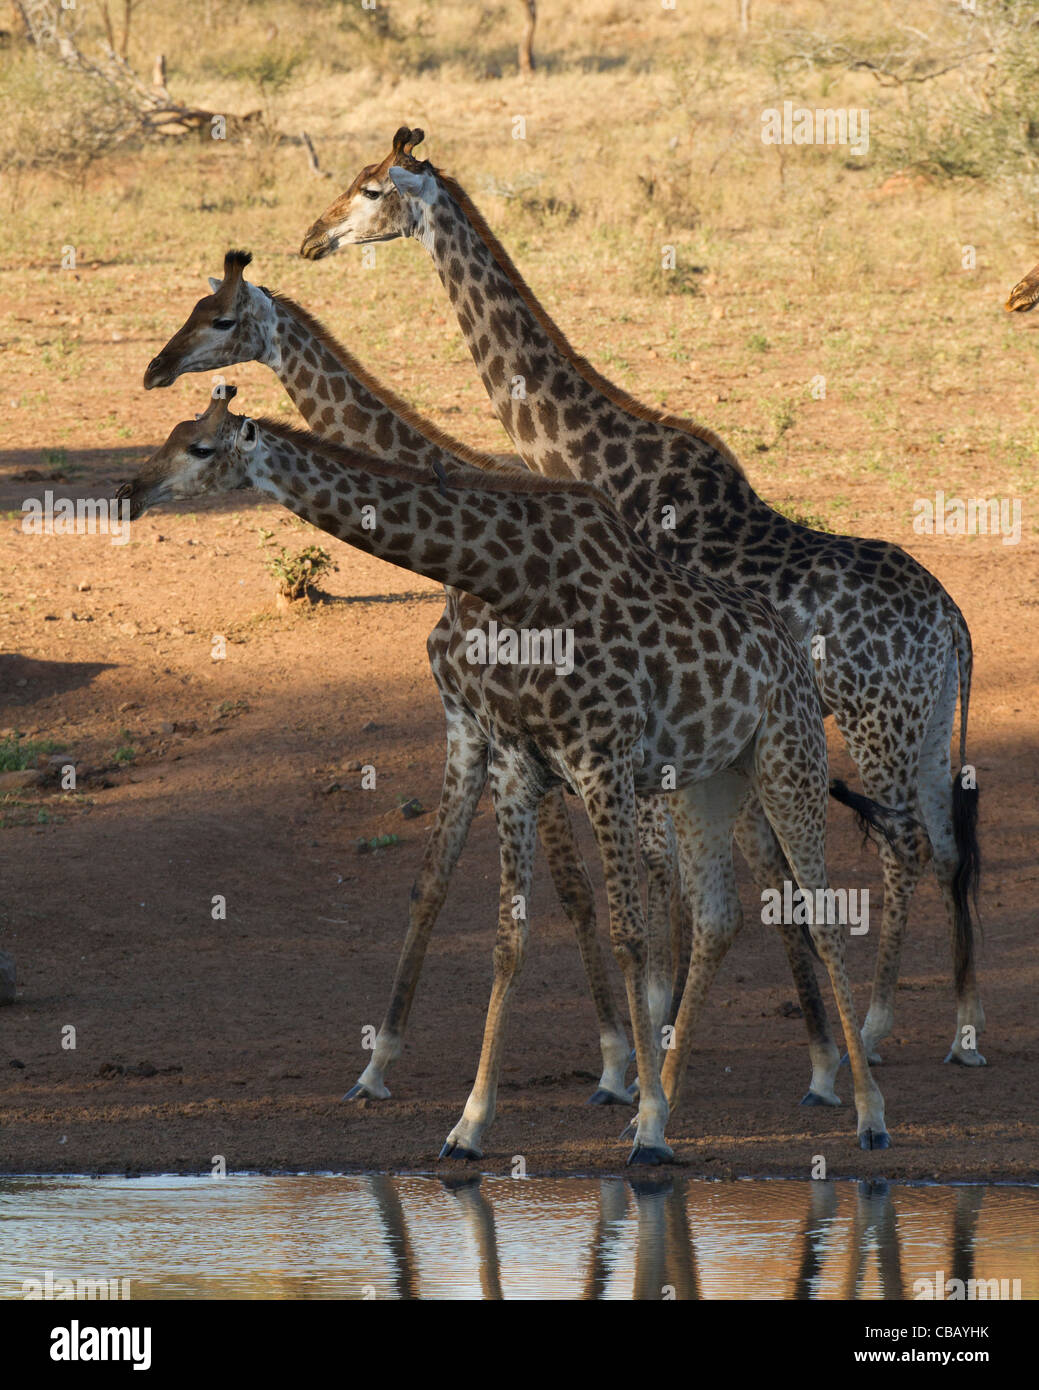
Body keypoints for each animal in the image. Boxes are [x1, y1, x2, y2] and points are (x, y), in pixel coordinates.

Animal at [118, 387, 894, 1161]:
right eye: (171, 434)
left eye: (200, 449)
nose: (128, 493)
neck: (513, 581)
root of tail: (790, 646)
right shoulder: (517, 761)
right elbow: (503, 933)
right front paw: (470, 1123)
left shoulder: (600, 760)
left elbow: (628, 933)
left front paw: (645, 1125)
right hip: (709, 779)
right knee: (718, 914)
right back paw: (683, 1095)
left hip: (786, 758)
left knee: (821, 914)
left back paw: (862, 1111)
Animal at [299, 126, 983, 1075]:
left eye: (370, 189)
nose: (310, 239)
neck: (588, 457)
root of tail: (952, 621)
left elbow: (666, 875)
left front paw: (652, 1036)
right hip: (924, 717)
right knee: (947, 844)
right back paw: (961, 1031)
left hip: (876, 719)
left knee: (904, 843)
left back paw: (877, 1029)